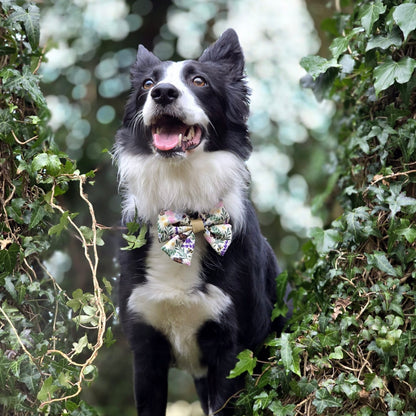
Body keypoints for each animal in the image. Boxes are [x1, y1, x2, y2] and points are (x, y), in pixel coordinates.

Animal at [115, 27, 288, 414]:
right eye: (148, 83)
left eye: (199, 81)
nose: (163, 93)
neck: (185, 209)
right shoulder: (145, 347)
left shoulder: (232, 349)